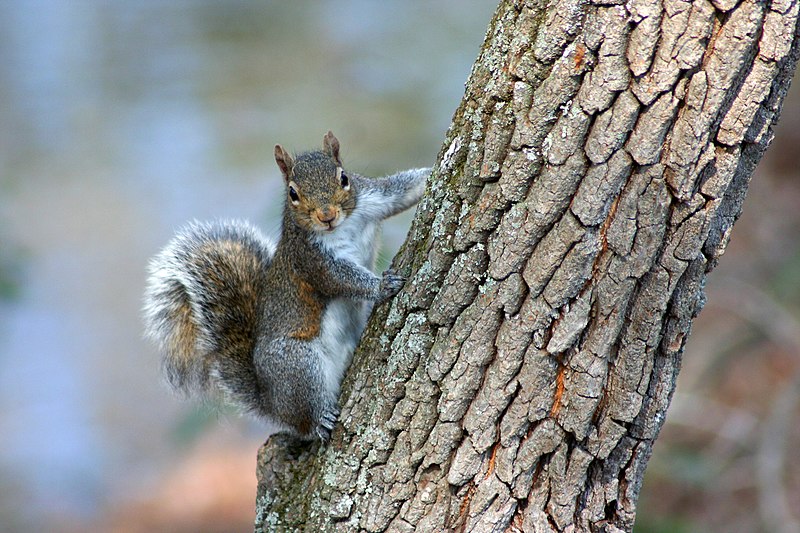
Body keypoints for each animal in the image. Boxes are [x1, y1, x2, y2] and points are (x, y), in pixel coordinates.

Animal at [144, 131, 432, 438]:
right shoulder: (309, 258)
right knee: (305, 417)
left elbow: (402, 190)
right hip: (297, 366)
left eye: (343, 178)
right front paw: (382, 286)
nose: (327, 216)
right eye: (293, 193)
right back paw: (319, 420)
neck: (340, 227)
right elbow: (341, 278)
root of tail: (272, 402)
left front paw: (433, 170)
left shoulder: (370, 197)